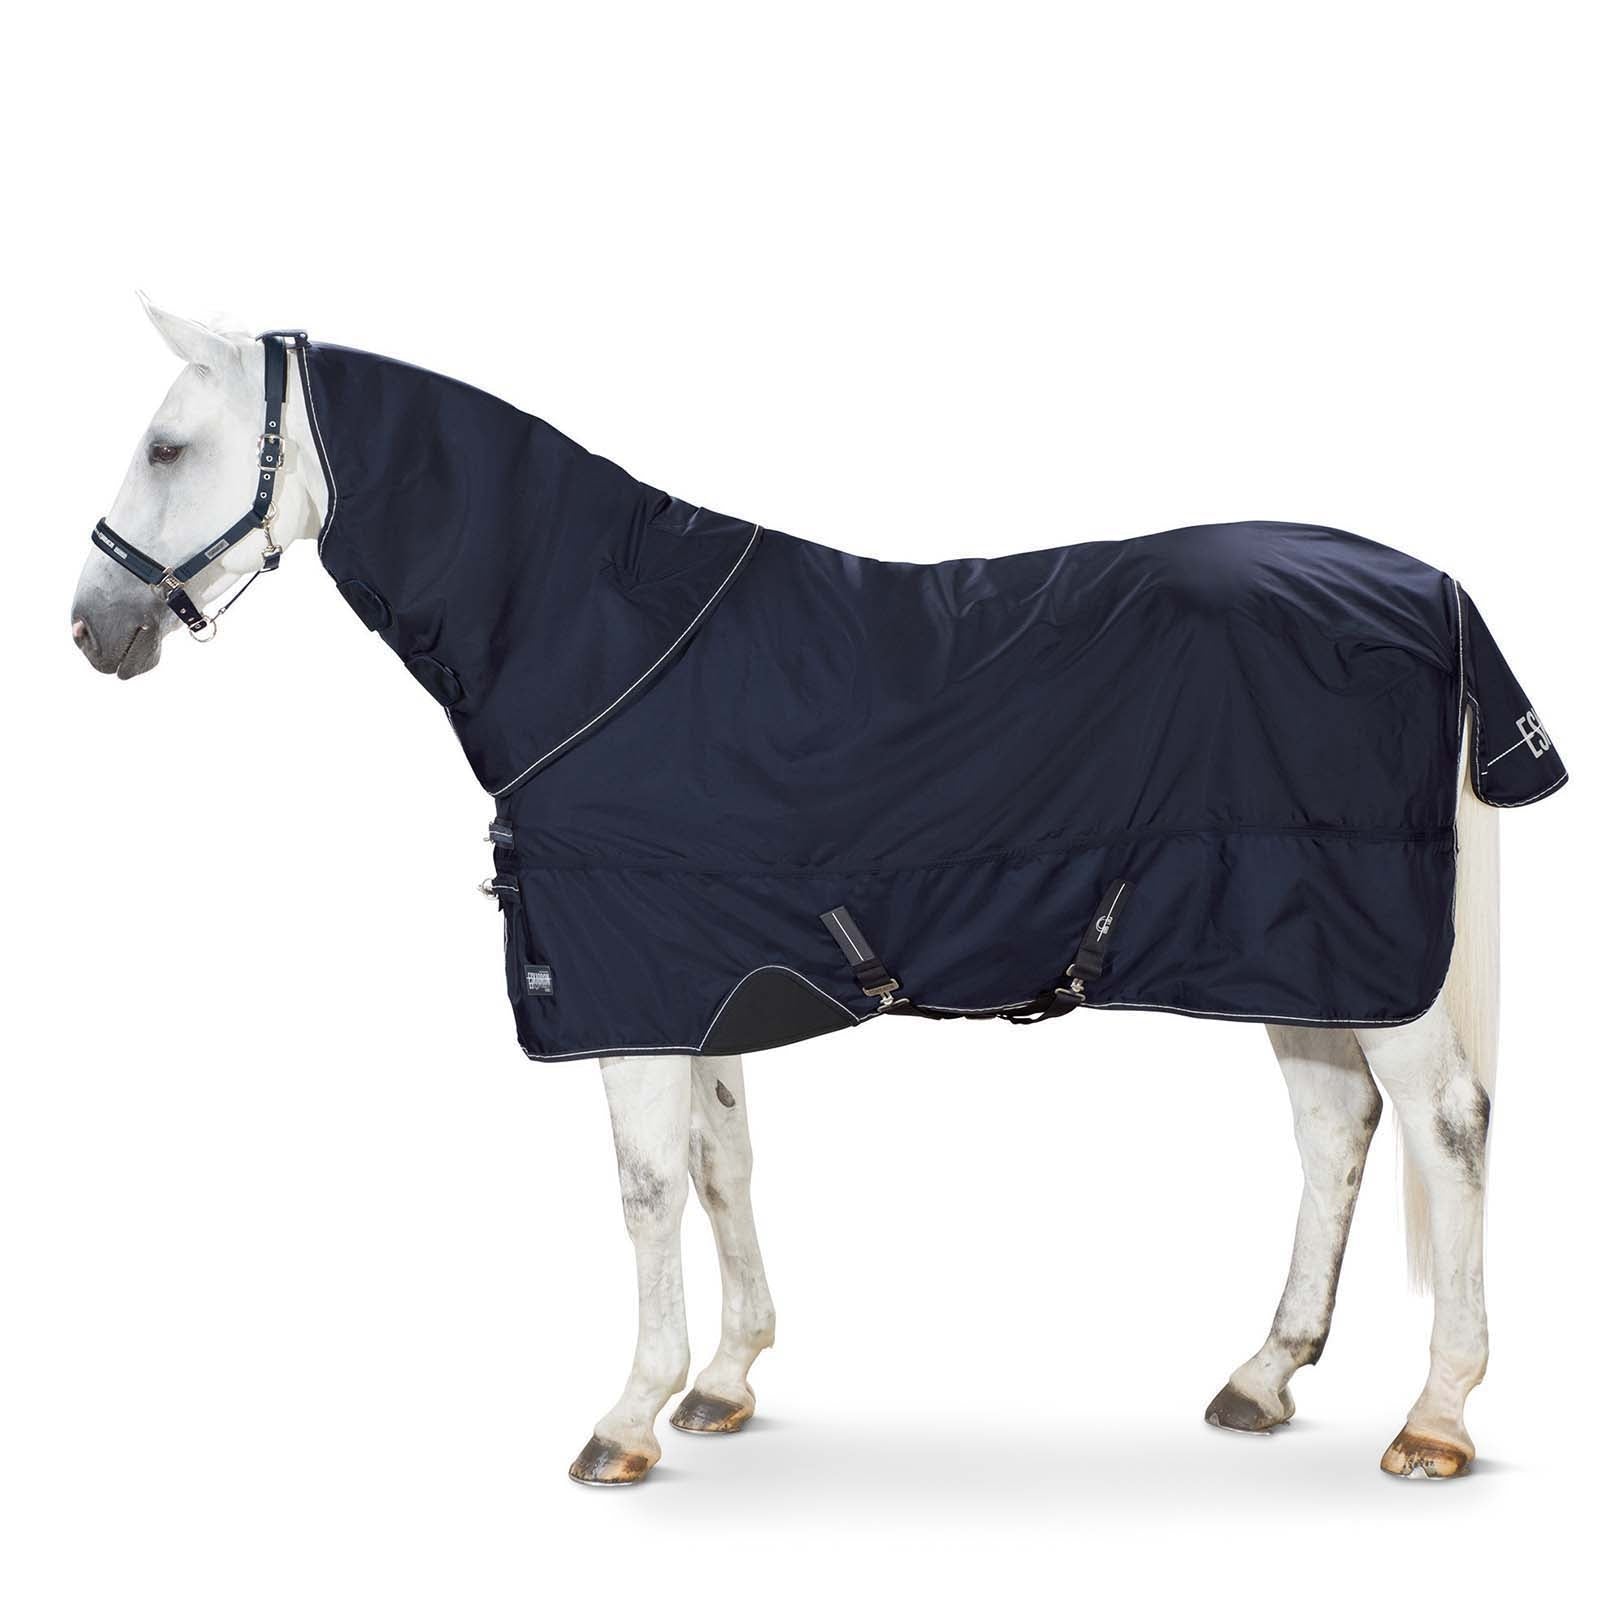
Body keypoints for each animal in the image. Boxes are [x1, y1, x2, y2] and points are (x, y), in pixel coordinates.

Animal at [71, 299, 1554, 1487]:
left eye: (166, 449)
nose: (93, 629)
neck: (600, 639)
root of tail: (1429, 589)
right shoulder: (705, 974)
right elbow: (722, 1166)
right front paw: (725, 1382)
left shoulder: (631, 985)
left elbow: (648, 1189)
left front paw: (627, 1416)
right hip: (1294, 942)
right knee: (1332, 1128)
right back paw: (1264, 1374)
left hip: (1361, 949)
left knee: (1449, 1130)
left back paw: (1435, 1419)